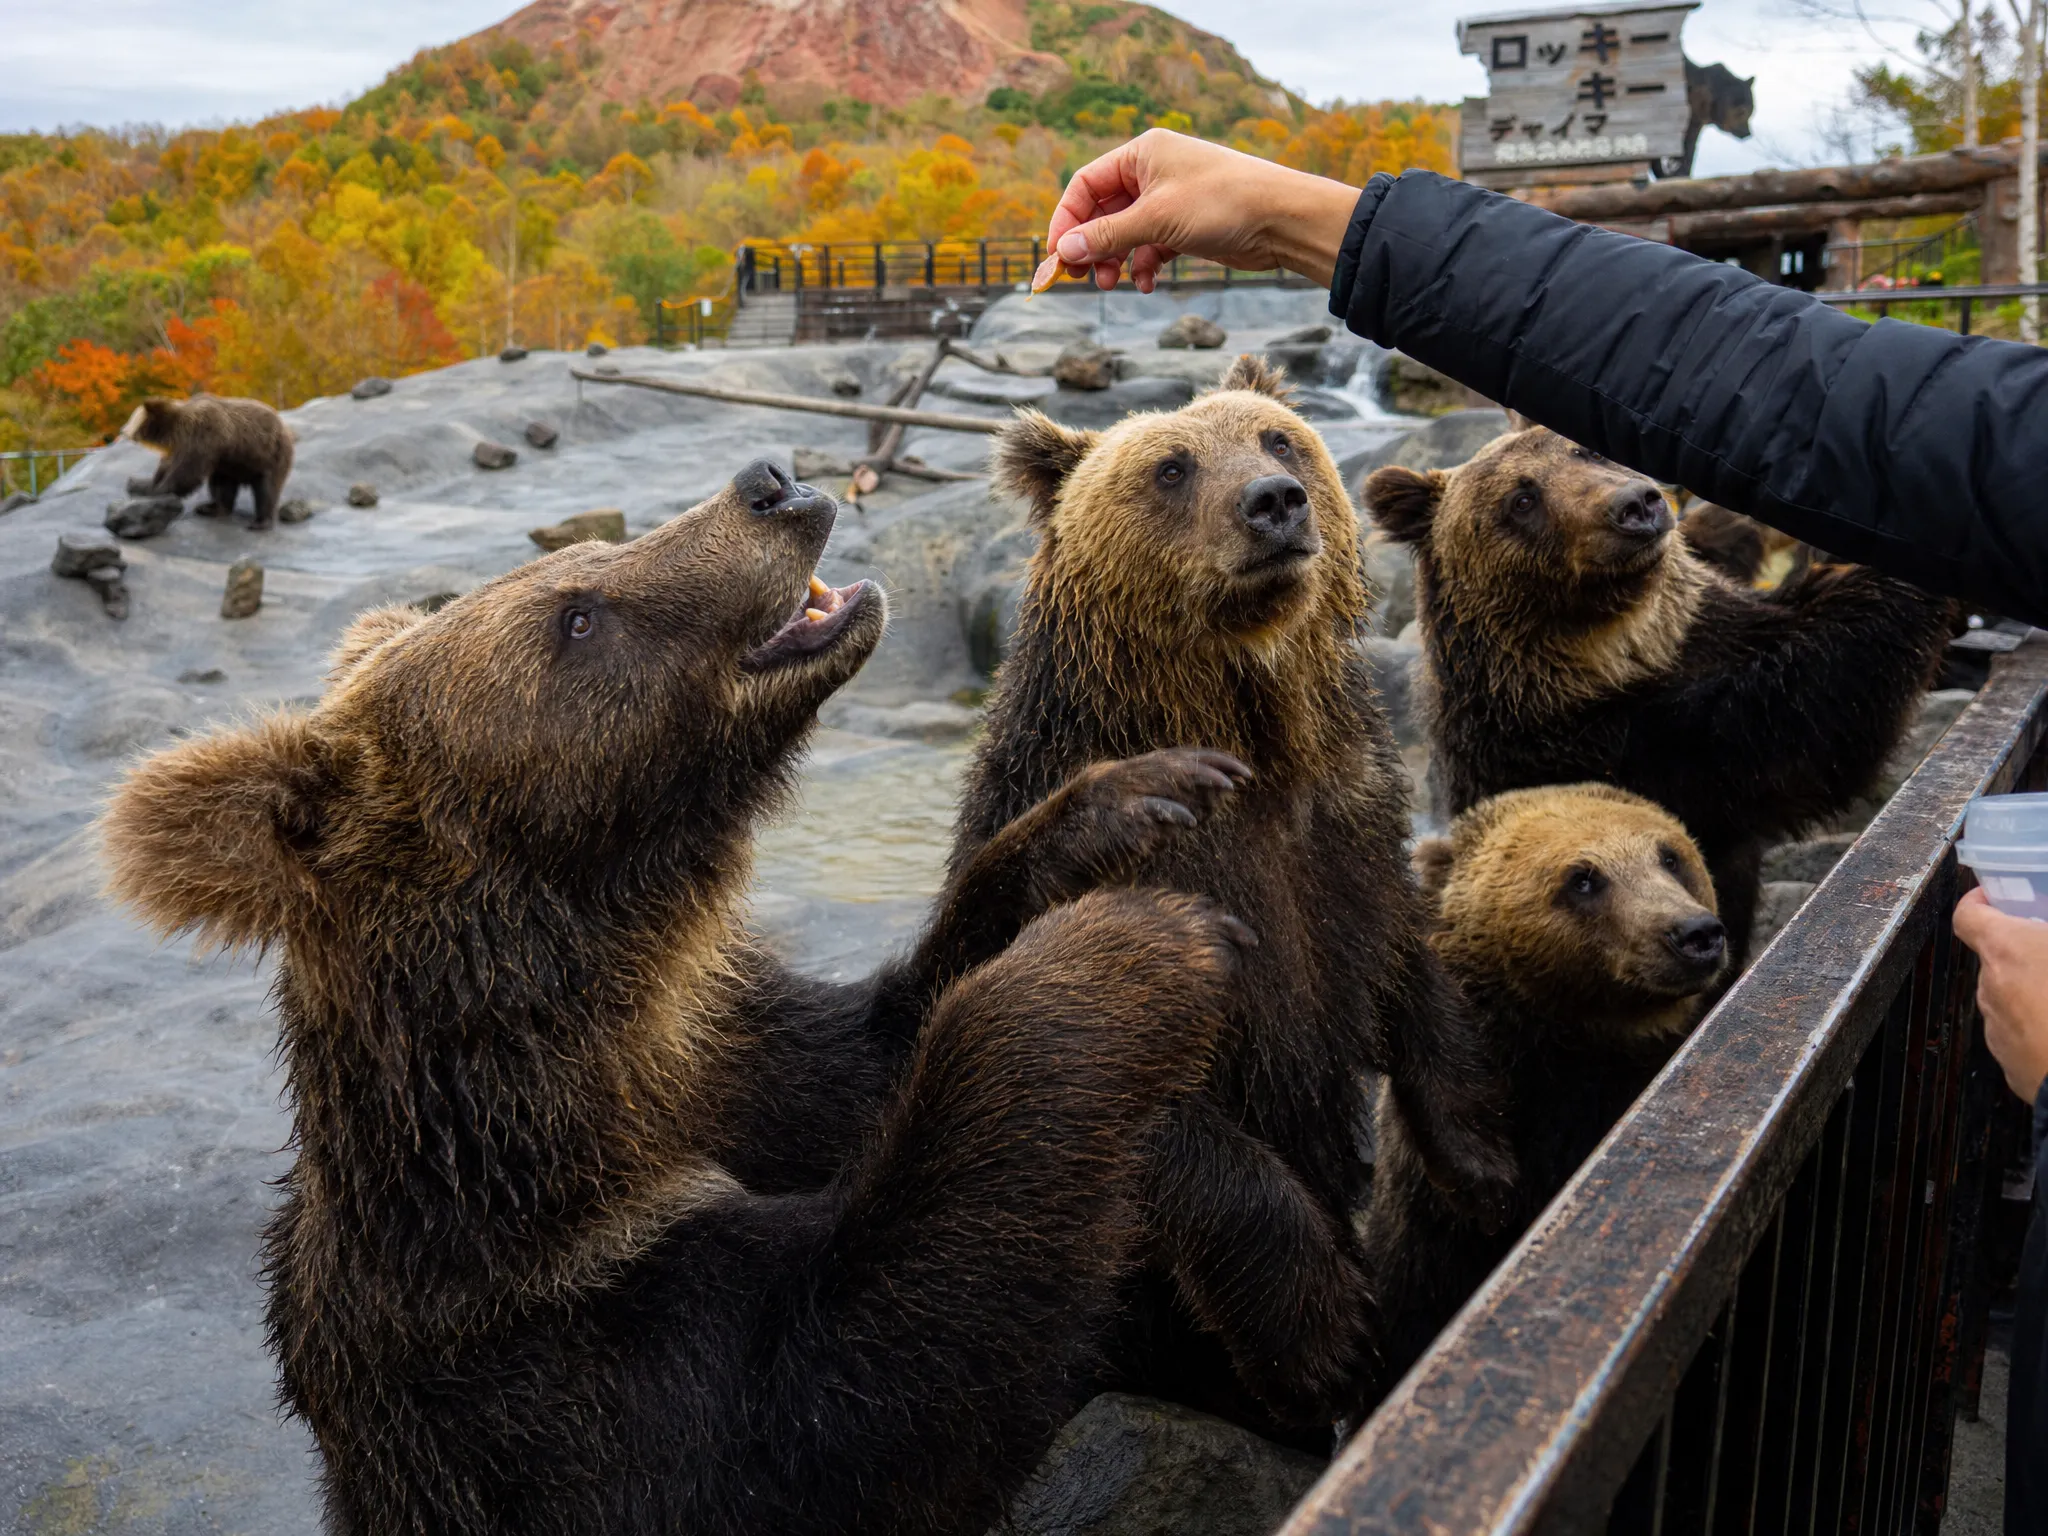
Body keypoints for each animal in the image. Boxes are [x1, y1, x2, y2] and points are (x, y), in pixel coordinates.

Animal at [101, 457, 1260, 1536]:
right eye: (575, 617)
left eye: (581, 561)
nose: (771, 484)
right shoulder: (551, 1354)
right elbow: (853, 1390)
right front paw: (1123, 952)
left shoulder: (739, 1066)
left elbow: (882, 1042)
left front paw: (1127, 803)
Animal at [127, 393, 294, 528]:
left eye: (134, 421)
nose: (124, 431)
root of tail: (285, 429)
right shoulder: (184, 447)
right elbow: (167, 467)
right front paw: (143, 484)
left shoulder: (202, 437)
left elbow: (186, 471)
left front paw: (157, 490)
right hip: (231, 464)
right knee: (222, 485)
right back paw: (210, 508)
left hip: (268, 457)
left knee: (266, 489)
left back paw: (260, 521)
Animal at [957, 356, 1516, 1440]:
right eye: (1171, 467)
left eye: (1276, 438)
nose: (1273, 503)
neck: (1242, 716)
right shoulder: (1137, 864)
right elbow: (1129, 1093)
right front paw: (1326, 1333)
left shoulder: (1344, 830)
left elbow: (1403, 967)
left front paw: (1479, 1159)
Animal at [1365, 425, 1952, 976]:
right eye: (1522, 498)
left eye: (1586, 449)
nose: (1636, 503)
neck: (1615, 651)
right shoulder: (1613, 749)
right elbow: (1811, 721)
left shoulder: (1710, 628)